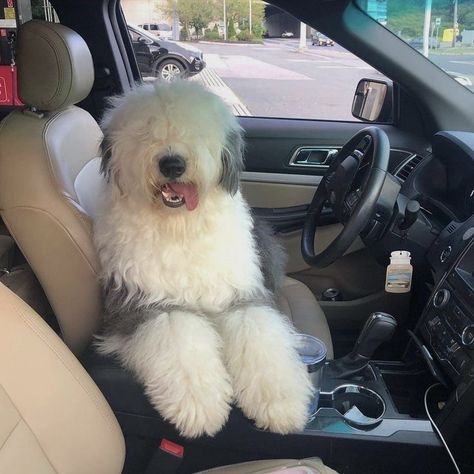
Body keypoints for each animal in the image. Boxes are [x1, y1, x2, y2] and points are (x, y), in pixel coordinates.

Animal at [94, 80, 312, 436]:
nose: (172, 164)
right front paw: (200, 406)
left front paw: (280, 403)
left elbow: (260, 339)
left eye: (196, 130)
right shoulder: (148, 303)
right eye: (146, 129)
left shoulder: (240, 295)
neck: (181, 227)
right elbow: (180, 338)